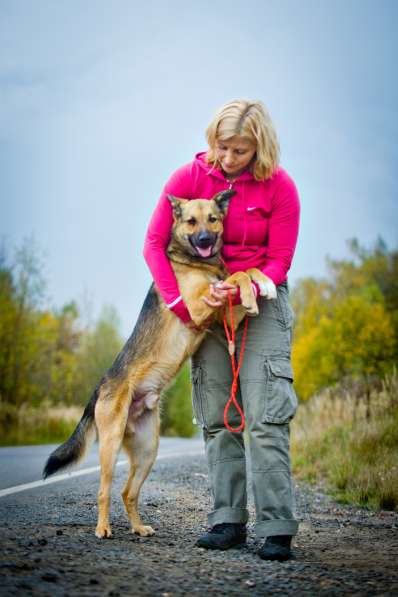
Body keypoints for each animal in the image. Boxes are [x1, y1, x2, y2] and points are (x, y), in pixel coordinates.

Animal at [42, 192, 274, 540]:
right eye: (191, 221)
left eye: (213, 219)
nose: (205, 240)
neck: (197, 263)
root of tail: (100, 387)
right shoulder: (198, 305)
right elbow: (237, 275)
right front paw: (249, 290)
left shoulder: (225, 315)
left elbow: (247, 272)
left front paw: (264, 284)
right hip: (110, 445)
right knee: (104, 490)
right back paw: (103, 528)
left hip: (148, 449)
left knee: (128, 492)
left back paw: (138, 527)